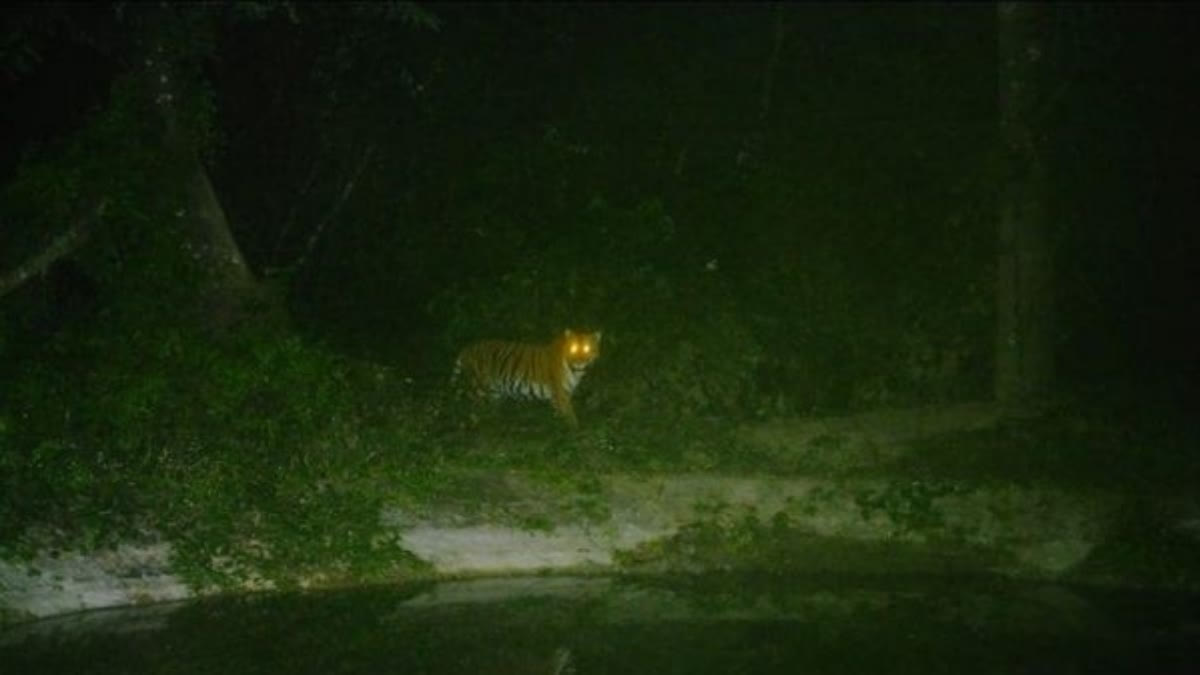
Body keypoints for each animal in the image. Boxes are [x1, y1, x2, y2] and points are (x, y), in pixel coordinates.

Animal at [451, 329, 600, 427]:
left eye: (587, 349)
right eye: (573, 349)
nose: (580, 362)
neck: (576, 371)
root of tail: (467, 348)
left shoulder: (557, 396)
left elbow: (558, 411)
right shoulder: (561, 393)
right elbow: (569, 414)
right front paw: (575, 430)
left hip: (494, 391)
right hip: (480, 386)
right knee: (473, 402)